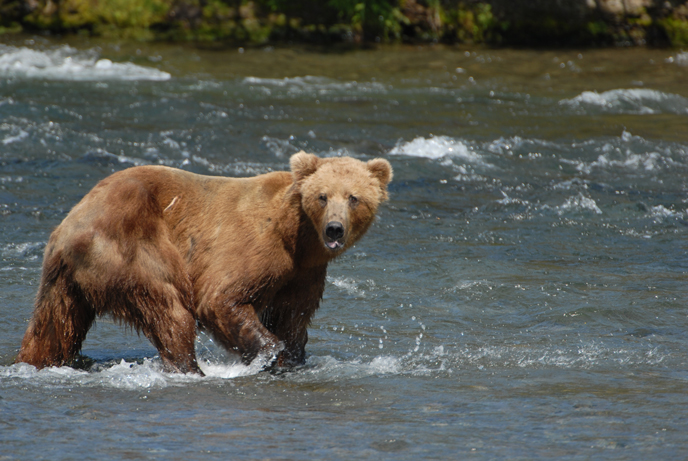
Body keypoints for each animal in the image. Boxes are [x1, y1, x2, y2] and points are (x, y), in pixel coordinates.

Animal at [14, 151, 392, 374]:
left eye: (354, 197)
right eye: (323, 195)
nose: (334, 228)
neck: (297, 237)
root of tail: (71, 224)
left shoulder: (303, 273)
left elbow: (293, 316)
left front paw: (293, 360)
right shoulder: (255, 246)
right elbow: (221, 298)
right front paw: (268, 353)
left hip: (64, 281)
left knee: (53, 328)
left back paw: (33, 362)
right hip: (131, 247)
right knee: (170, 310)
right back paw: (190, 369)